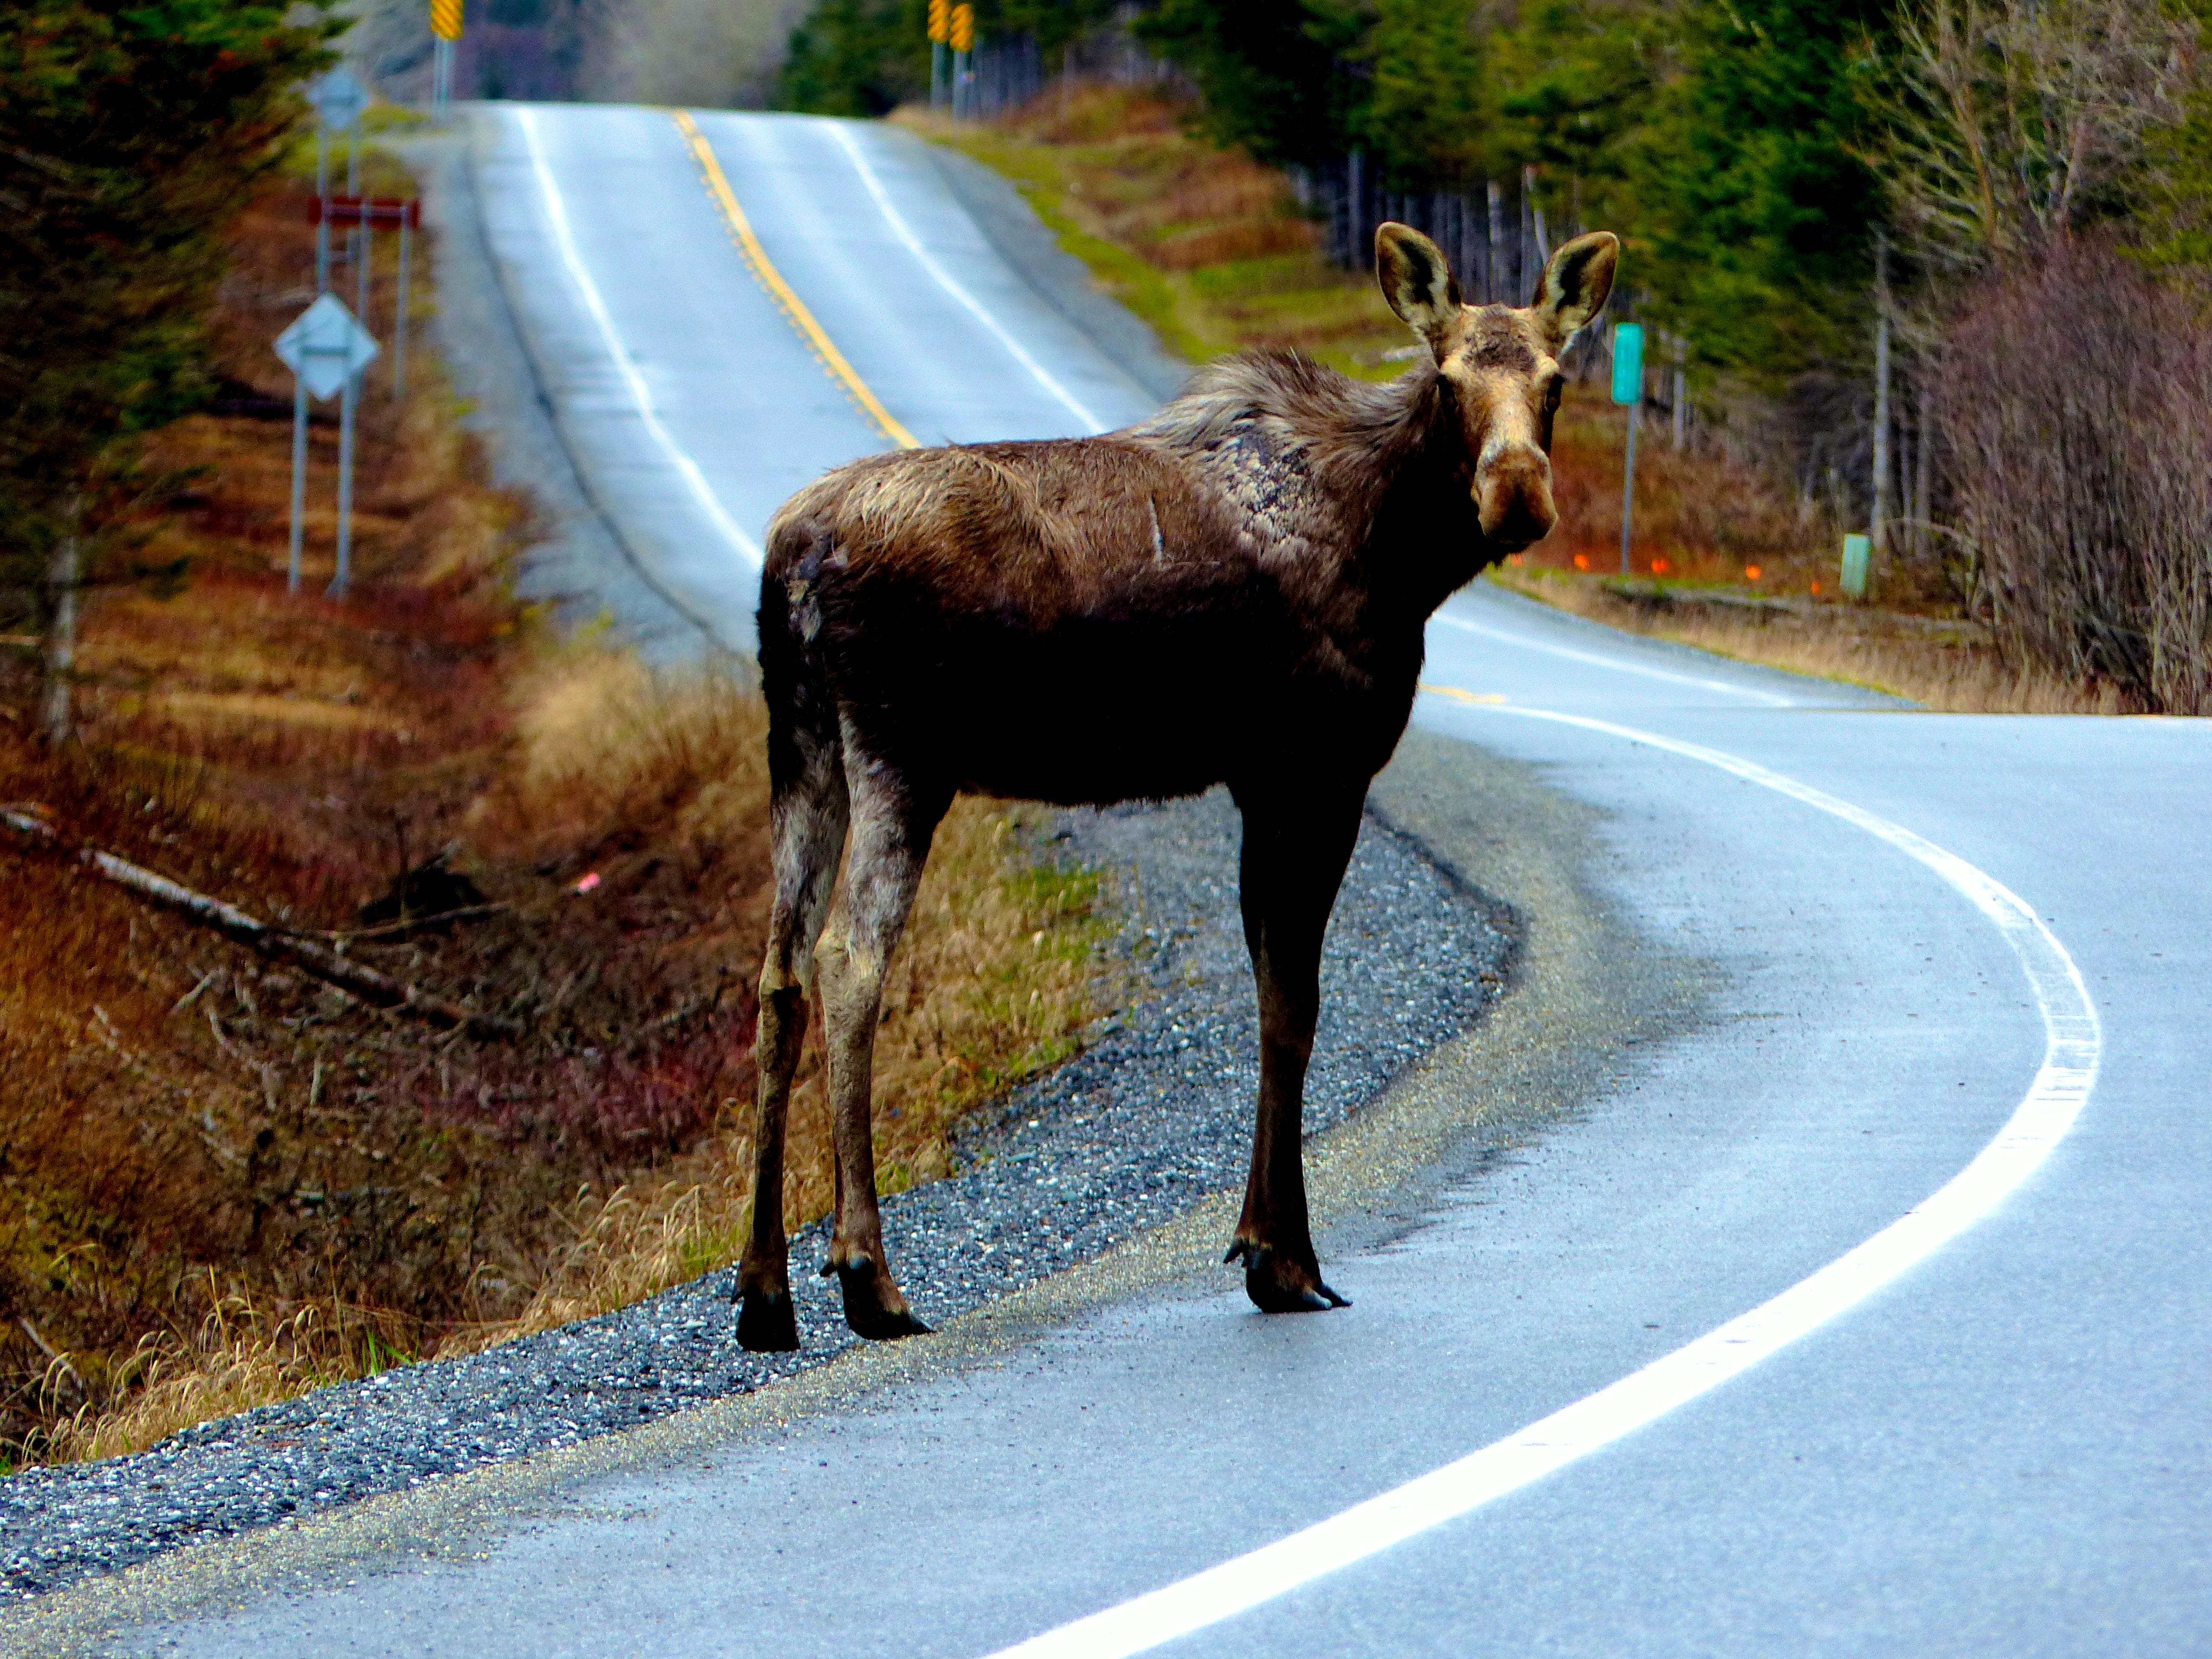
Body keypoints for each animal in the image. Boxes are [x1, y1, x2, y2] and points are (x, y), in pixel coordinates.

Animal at [734, 218, 1619, 1354]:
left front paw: (1262, 1243)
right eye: (1448, 375)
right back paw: (866, 1273)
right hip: (898, 752)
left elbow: (1269, 988)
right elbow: (1295, 1003)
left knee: (778, 972)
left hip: (799, 743)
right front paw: (1286, 1259)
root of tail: (790, 558)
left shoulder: (1253, 781)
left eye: (1556, 379)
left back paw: (763, 1287)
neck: (1400, 555)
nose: (1516, 495)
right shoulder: (1318, 764)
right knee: (849, 958)